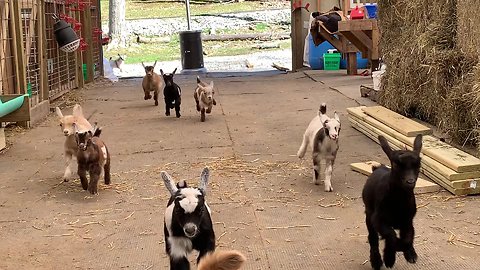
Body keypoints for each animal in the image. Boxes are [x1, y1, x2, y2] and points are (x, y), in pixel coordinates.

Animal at [362, 134, 422, 270]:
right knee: (373, 238)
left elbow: (408, 238)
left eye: (418, 165)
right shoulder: (378, 219)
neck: (398, 202)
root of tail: (378, 168)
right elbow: (391, 235)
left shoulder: (407, 220)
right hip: (369, 214)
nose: (410, 181)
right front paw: (389, 258)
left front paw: (410, 253)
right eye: (396, 164)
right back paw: (376, 261)